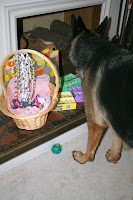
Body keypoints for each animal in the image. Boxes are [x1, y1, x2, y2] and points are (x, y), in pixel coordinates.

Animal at [69, 14, 133, 164]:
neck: (94, 48)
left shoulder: (95, 122)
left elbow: (90, 148)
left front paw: (83, 158)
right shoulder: (113, 116)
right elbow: (117, 138)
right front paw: (114, 156)